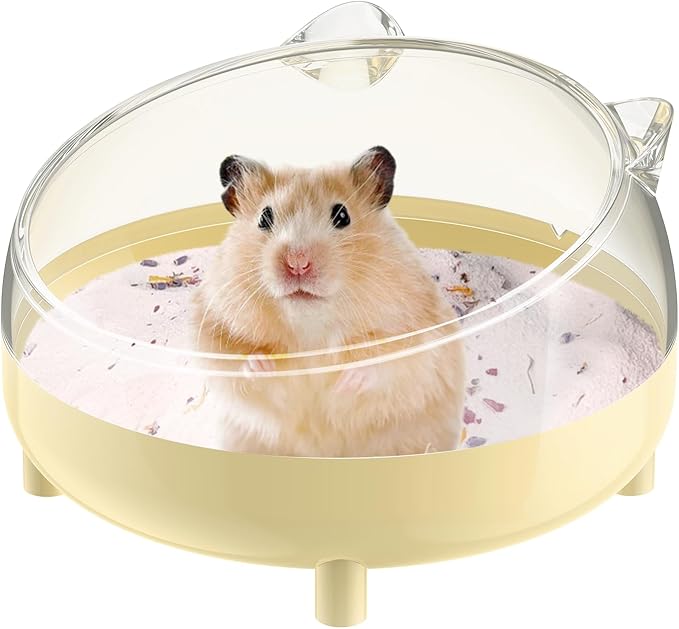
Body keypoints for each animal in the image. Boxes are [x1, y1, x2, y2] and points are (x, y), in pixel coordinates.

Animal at [194, 146, 465, 457]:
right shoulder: (212, 324)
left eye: (342, 215)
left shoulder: (419, 334)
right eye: (264, 217)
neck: (311, 326)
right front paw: (262, 366)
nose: (297, 264)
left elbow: (393, 362)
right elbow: (229, 361)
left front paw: (346, 380)